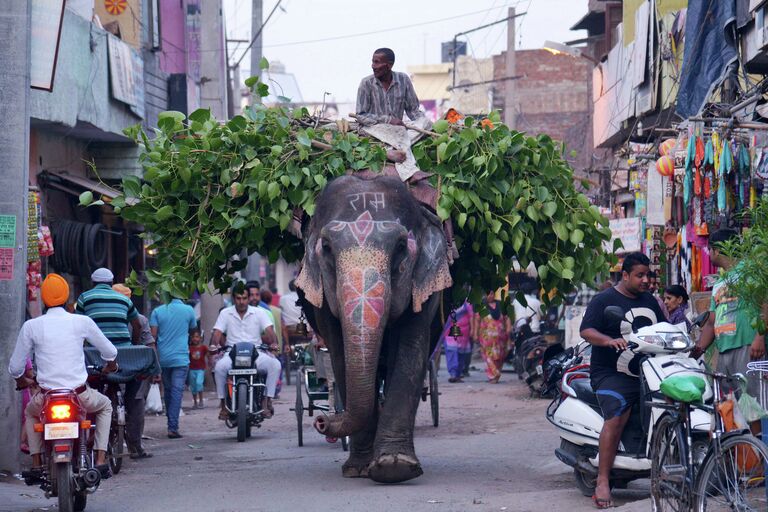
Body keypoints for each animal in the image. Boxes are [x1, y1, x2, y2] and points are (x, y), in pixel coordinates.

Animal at [292, 174, 450, 482]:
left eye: (401, 246)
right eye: (326, 247)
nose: (321, 421)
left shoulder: (422, 290)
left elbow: (411, 352)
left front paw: (394, 466)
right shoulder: (323, 303)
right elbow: (339, 356)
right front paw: (358, 469)